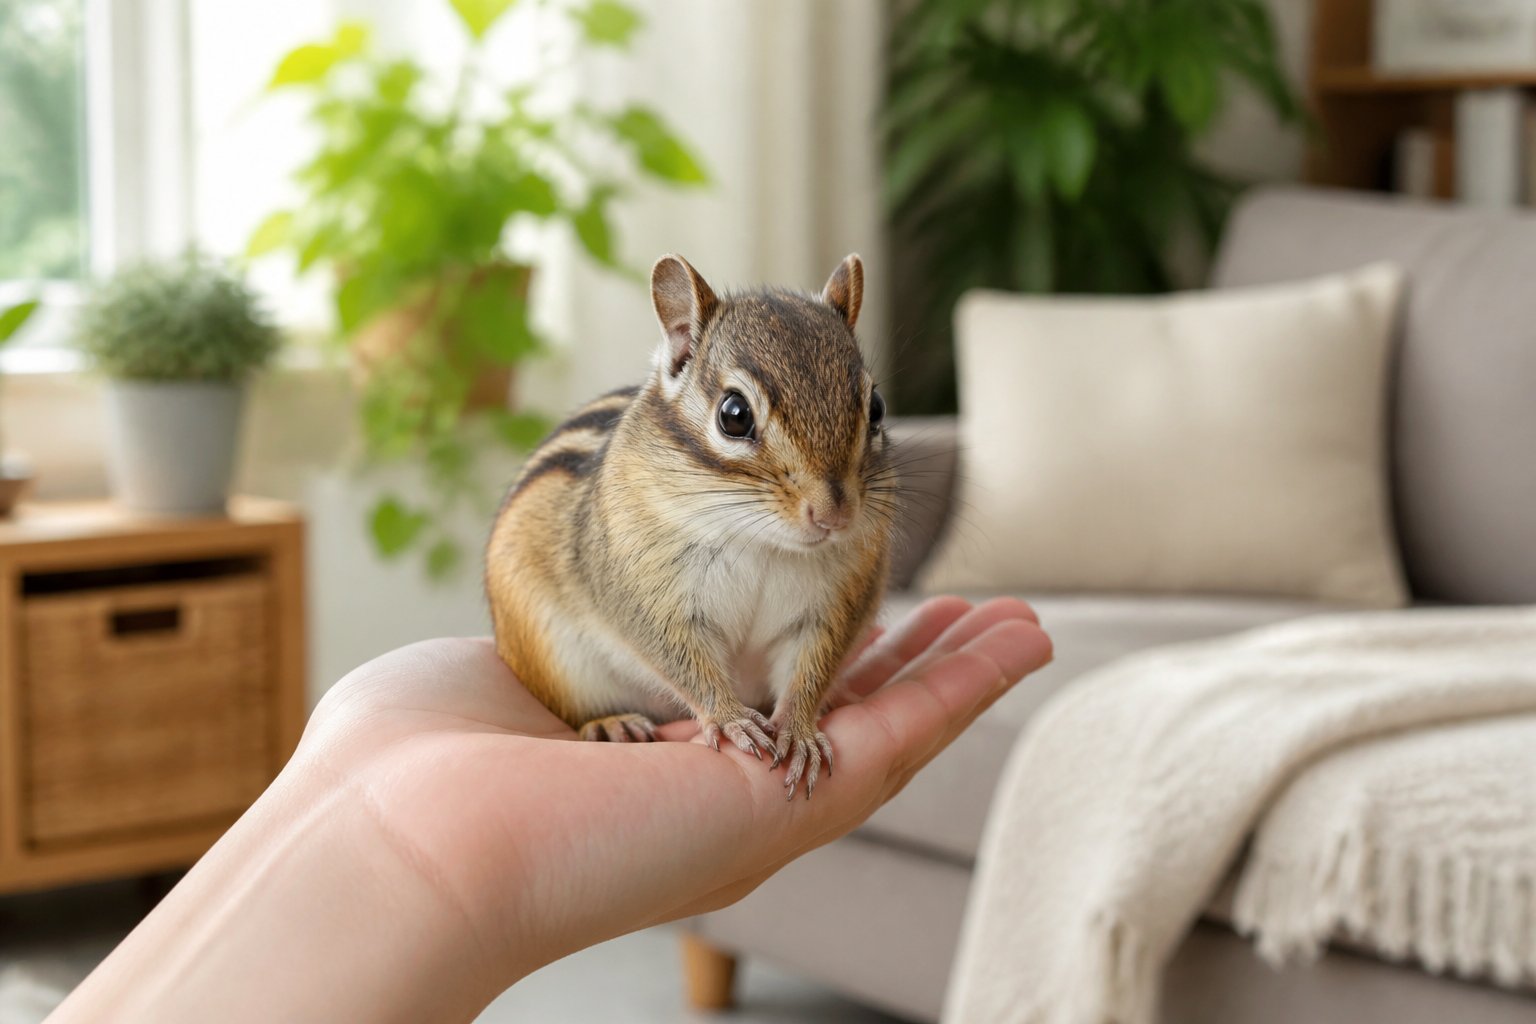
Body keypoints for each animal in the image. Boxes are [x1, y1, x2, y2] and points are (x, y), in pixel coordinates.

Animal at [485, 253, 894, 799]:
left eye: (877, 408)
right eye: (734, 415)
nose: (834, 515)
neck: (762, 542)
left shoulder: (836, 603)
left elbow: (813, 667)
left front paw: (800, 729)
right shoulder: (646, 594)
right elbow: (681, 660)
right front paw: (731, 719)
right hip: (552, 661)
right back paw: (611, 722)